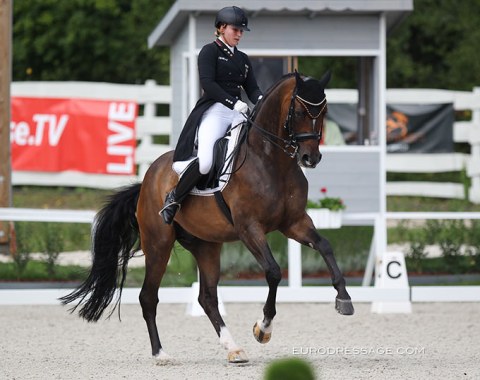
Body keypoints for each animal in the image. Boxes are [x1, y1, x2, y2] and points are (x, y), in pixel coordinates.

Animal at [60, 70, 354, 364]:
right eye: (301, 111)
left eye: (324, 111)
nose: (310, 157)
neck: (271, 161)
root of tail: (147, 179)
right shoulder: (249, 228)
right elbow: (273, 272)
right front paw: (263, 328)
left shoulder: (294, 223)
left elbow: (325, 245)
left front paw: (344, 299)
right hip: (158, 244)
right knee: (148, 297)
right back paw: (161, 353)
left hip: (206, 246)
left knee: (207, 298)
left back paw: (233, 349)